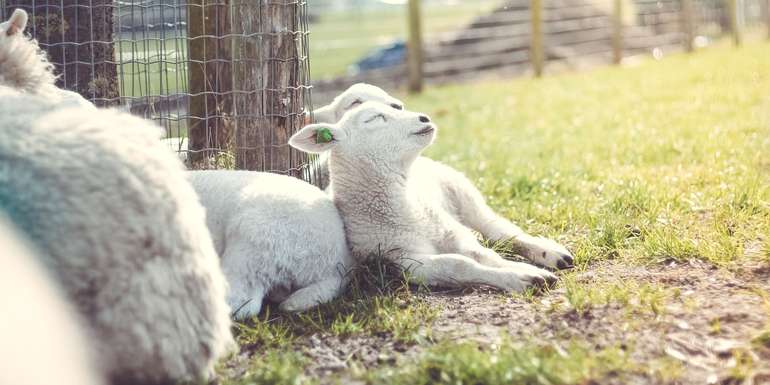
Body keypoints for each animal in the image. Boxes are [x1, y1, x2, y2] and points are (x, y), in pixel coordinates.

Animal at [288, 102, 560, 292]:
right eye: (374, 118)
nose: (424, 118)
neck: (405, 211)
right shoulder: (405, 260)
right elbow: (459, 264)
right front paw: (523, 278)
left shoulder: (451, 232)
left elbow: (483, 255)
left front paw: (524, 270)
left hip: (461, 191)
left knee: (499, 230)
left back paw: (550, 253)